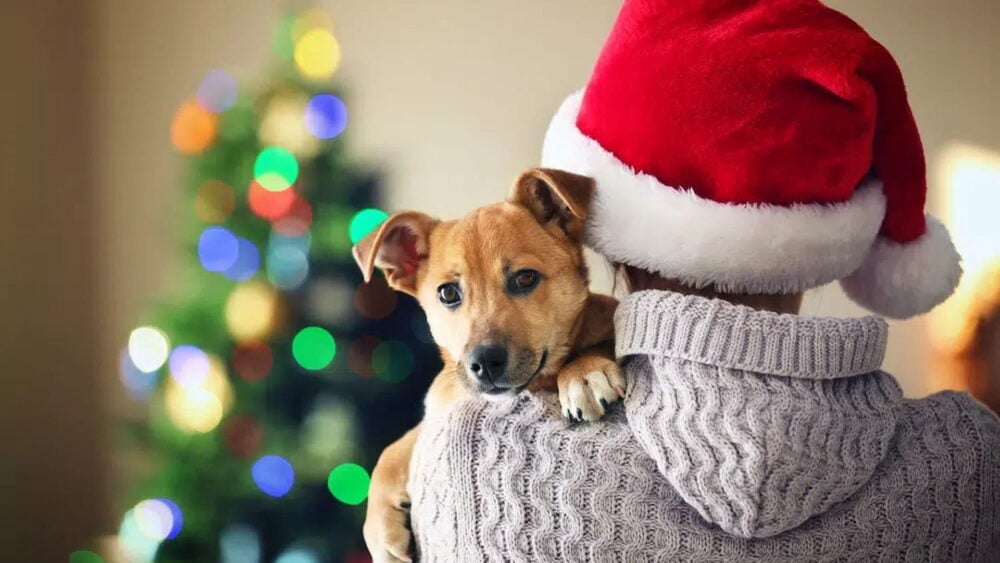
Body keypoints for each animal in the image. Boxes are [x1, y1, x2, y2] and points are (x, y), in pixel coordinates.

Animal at [352, 169, 620, 563]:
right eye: (448, 293)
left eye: (525, 278)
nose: (484, 363)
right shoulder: (441, 410)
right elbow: (393, 448)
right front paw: (380, 528)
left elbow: (606, 340)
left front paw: (584, 373)